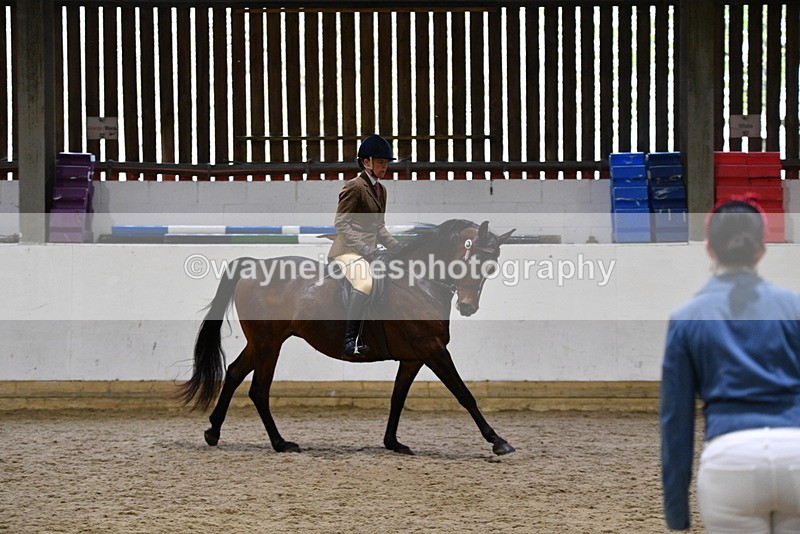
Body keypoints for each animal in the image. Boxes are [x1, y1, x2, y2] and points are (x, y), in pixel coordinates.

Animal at [177, 219, 516, 456]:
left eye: (492, 266)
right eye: (473, 260)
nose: (468, 307)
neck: (420, 282)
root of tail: (252, 265)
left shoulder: (413, 357)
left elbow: (398, 397)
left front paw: (393, 442)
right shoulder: (432, 350)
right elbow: (464, 394)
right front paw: (498, 441)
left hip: (261, 343)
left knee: (234, 373)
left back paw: (213, 432)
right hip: (268, 344)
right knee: (259, 390)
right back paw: (281, 443)